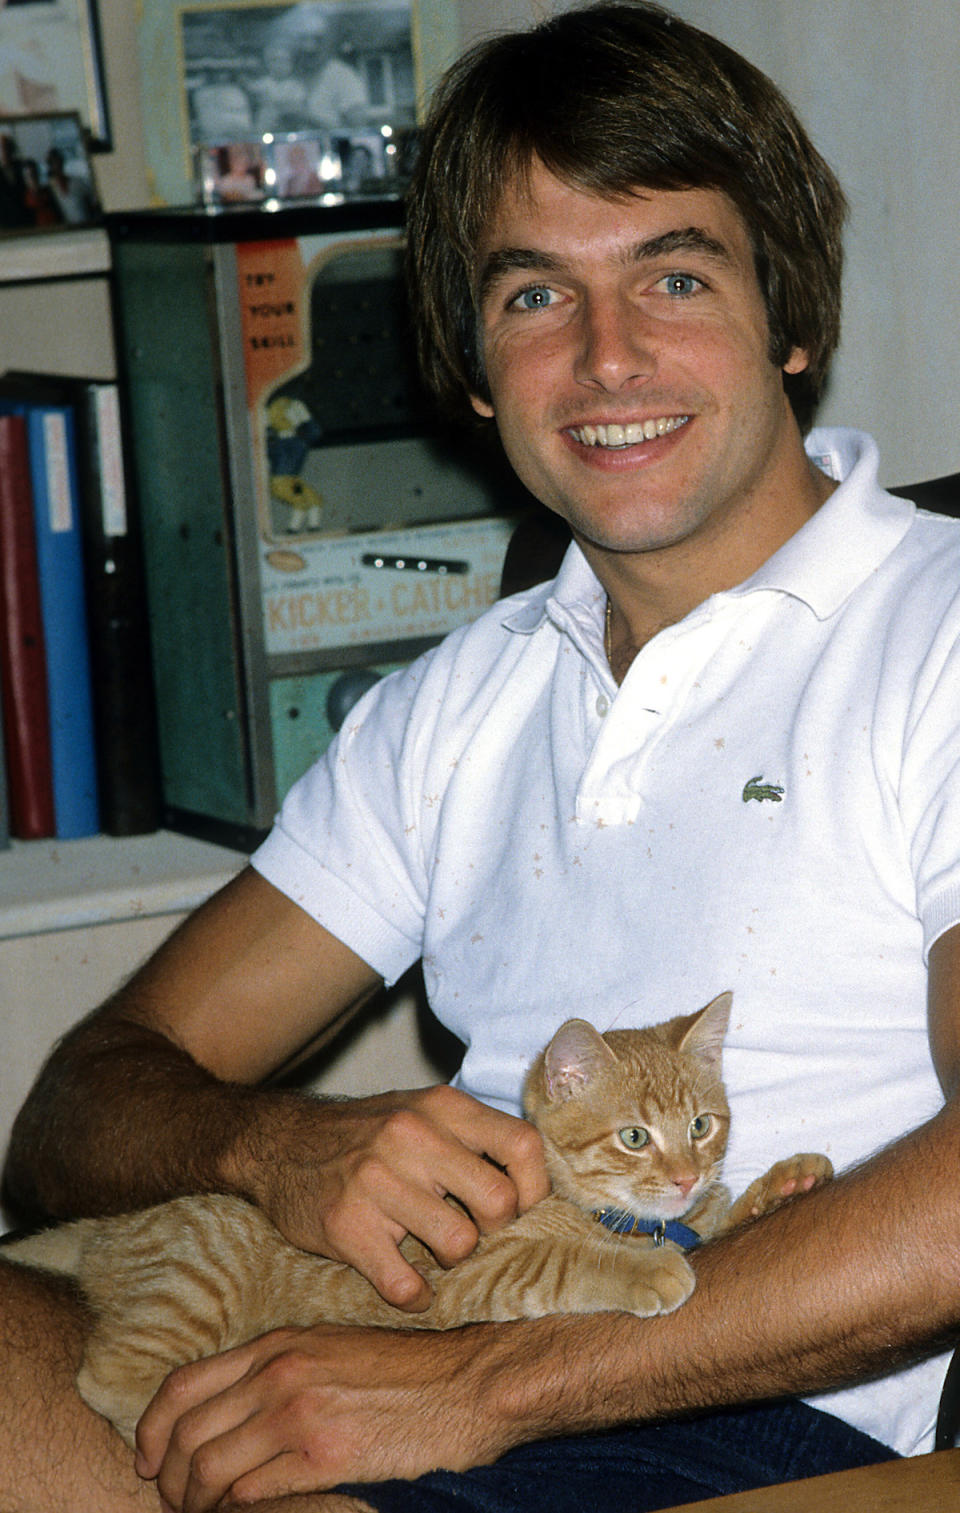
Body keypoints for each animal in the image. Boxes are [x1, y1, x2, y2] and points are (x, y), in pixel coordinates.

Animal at [0, 986, 828, 1446]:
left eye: (702, 1125)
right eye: (634, 1137)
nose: (687, 1174)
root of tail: (106, 1227)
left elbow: (717, 1221)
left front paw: (781, 1182)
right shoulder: (475, 1269)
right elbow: (571, 1259)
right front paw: (651, 1268)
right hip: (198, 1282)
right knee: (109, 1377)